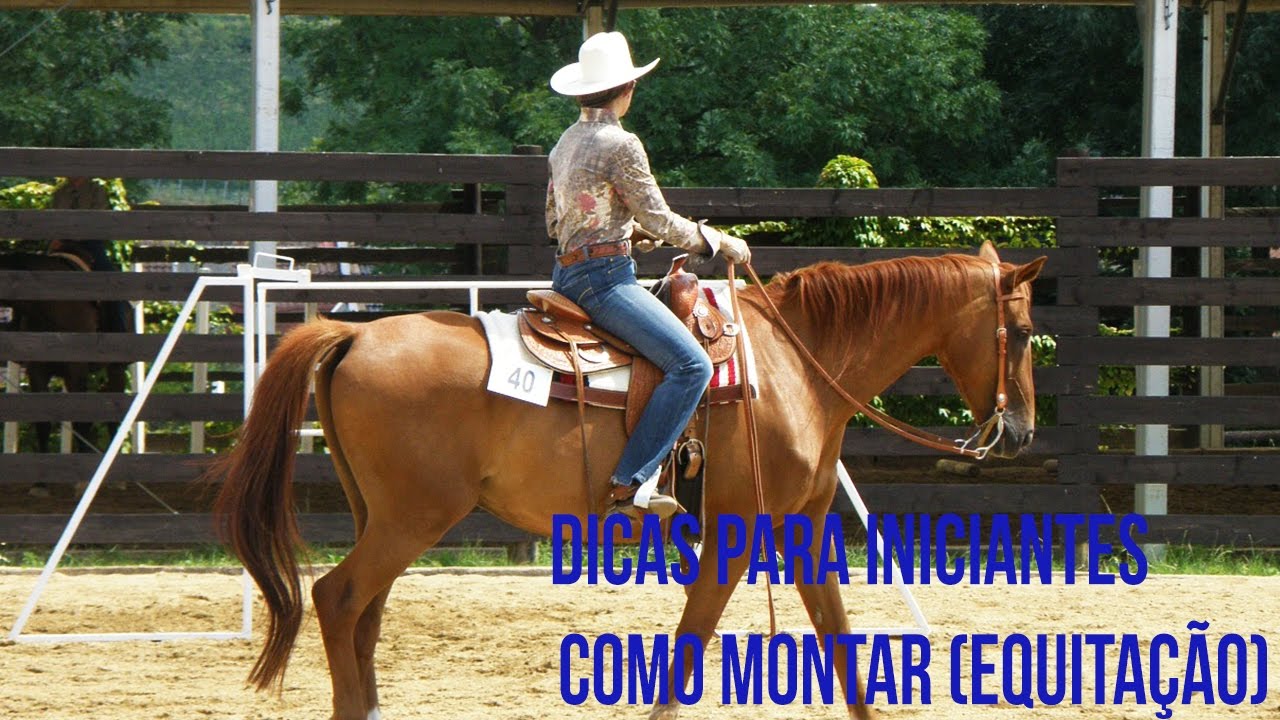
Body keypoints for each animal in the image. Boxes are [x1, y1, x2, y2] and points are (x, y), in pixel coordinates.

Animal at [213, 240, 1046, 720]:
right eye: (1024, 331)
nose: (1022, 432)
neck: (798, 362)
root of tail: (353, 334)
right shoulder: (735, 533)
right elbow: (689, 645)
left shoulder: (804, 528)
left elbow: (838, 642)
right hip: (411, 519)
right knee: (337, 599)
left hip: (382, 518)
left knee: (364, 615)